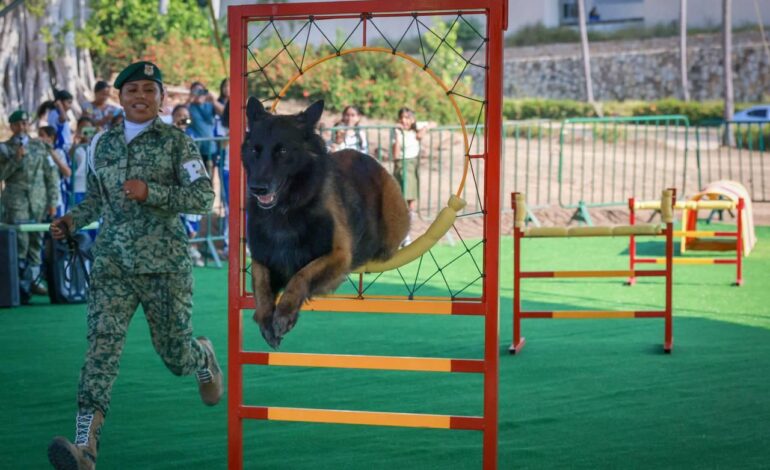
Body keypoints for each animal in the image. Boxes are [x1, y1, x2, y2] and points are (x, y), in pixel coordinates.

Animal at [242, 98, 408, 348]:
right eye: (255, 150)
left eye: (282, 150)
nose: (257, 188)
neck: (285, 210)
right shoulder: (262, 256)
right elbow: (260, 284)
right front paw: (265, 319)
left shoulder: (338, 255)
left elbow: (301, 275)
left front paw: (284, 313)